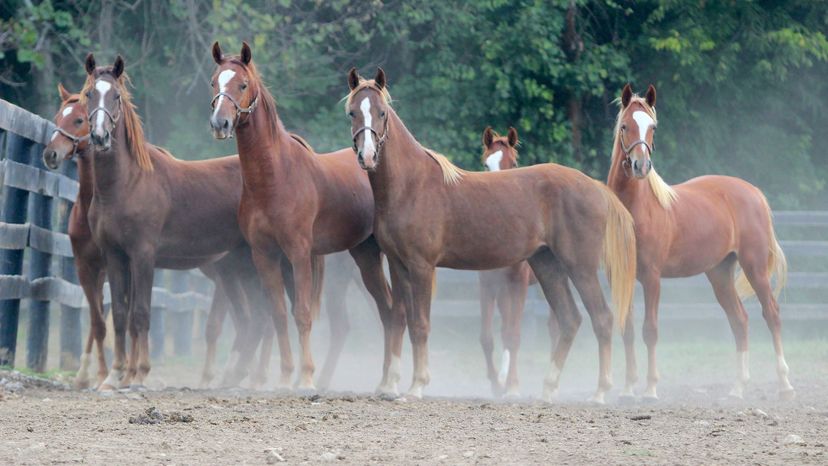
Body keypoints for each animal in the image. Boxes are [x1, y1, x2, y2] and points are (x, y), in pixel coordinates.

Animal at [41, 84, 274, 390]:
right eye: (58, 117)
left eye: (78, 119)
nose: (51, 154)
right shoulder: (90, 266)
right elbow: (103, 321)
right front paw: (102, 374)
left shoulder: (130, 260)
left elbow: (129, 316)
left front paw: (126, 373)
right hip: (233, 271)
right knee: (251, 319)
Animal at [212, 42, 396, 394]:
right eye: (214, 82)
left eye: (242, 84)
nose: (220, 123)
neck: (274, 177)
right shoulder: (266, 256)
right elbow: (278, 315)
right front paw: (286, 376)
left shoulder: (298, 254)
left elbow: (302, 314)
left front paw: (307, 377)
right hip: (364, 256)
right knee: (388, 309)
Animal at [476, 127, 560, 396]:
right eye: (485, 164)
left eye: (513, 164)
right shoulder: (488, 285)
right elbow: (487, 337)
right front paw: (496, 384)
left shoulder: (518, 285)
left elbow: (514, 335)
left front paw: (512, 386)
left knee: (555, 326)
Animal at [608, 84, 788, 400]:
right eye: (625, 126)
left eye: (653, 127)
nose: (641, 166)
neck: (636, 209)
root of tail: (753, 192)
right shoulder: (623, 277)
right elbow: (627, 329)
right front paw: (628, 389)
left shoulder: (652, 279)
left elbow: (650, 330)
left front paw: (650, 389)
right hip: (720, 274)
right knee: (740, 321)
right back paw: (737, 388)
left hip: (754, 268)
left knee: (772, 314)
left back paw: (785, 384)